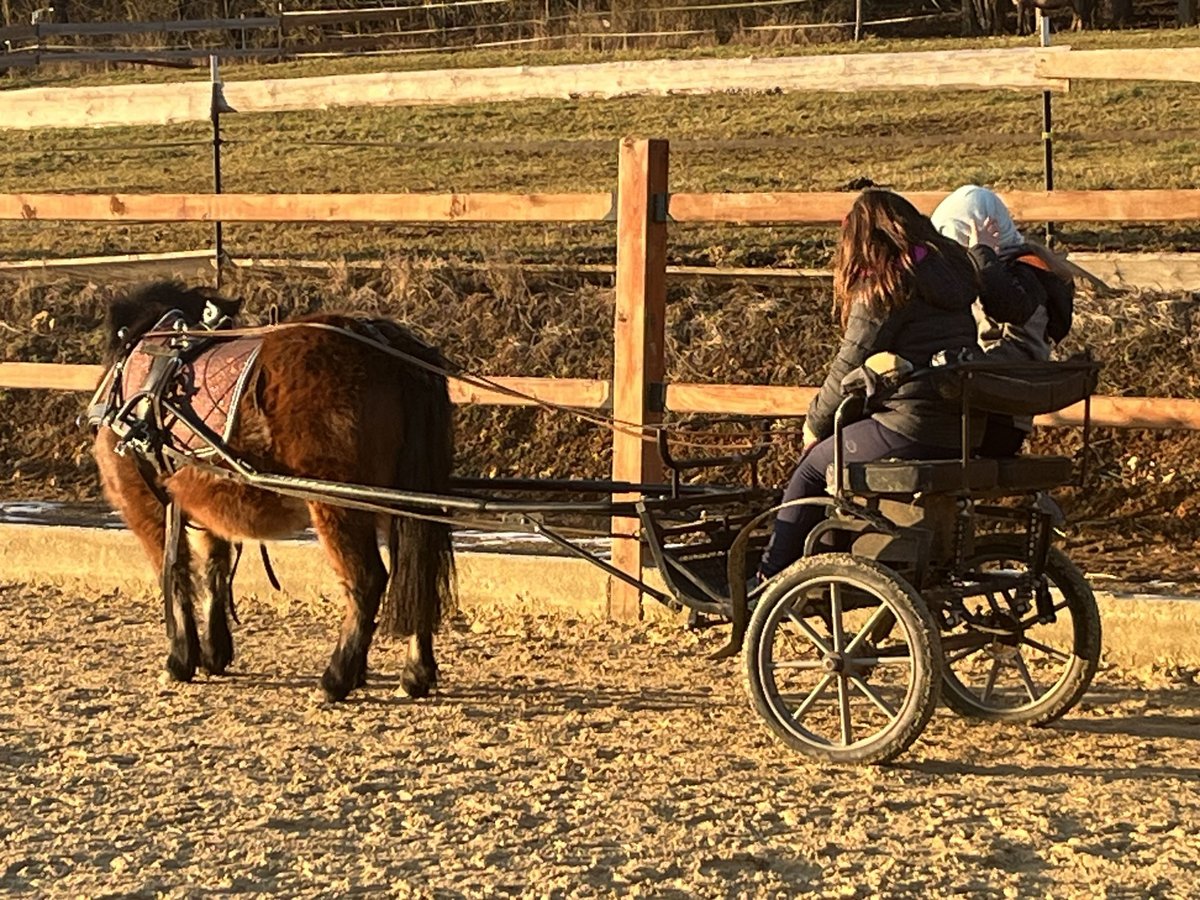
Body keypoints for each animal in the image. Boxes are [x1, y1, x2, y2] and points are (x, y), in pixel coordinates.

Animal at [90, 278, 453, 700]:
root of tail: (391, 350)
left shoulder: (144, 506)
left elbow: (176, 573)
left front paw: (180, 659)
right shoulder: (204, 505)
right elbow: (214, 570)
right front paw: (214, 654)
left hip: (339, 504)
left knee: (367, 581)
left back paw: (336, 678)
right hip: (399, 506)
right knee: (417, 577)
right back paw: (414, 673)